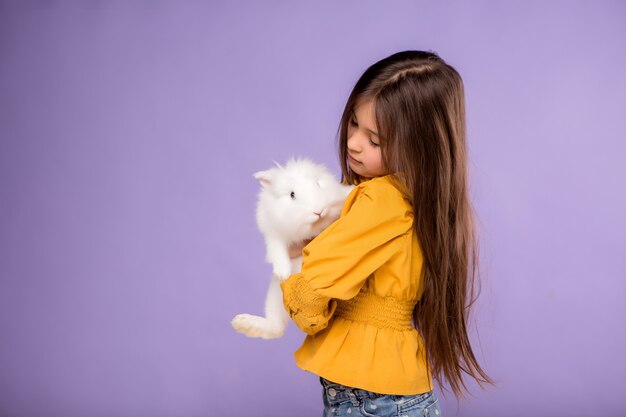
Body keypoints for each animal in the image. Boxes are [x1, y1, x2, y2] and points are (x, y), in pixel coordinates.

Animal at [232, 158, 354, 338]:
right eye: (292, 194)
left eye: (318, 184)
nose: (318, 212)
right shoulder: (274, 234)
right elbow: (277, 250)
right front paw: (283, 272)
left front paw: (351, 190)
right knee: (275, 328)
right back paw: (242, 322)